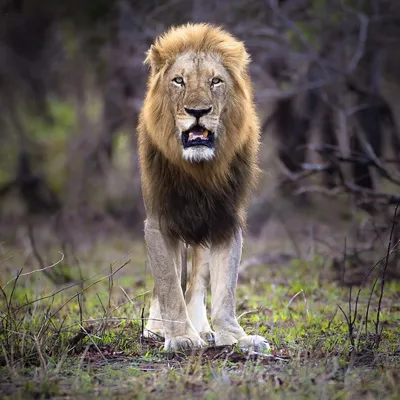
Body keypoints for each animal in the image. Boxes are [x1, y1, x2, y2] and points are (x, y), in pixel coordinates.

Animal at [138, 23, 268, 352]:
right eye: (179, 81)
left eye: (215, 81)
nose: (198, 111)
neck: (199, 171)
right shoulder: (159, 221)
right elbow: (168, 285)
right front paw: (180, 337)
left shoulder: (226, 221)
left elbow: (225, 290)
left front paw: (236, 337)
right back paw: (159, 329)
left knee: (197, 280)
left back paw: (204, 330)